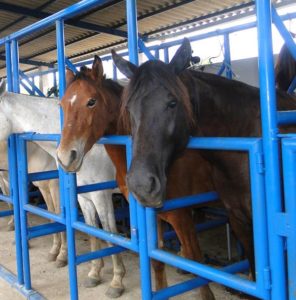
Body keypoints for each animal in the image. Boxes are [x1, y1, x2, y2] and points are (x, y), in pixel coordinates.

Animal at [0, 81, 125, 298]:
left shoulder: (99, 195)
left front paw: (116, 281)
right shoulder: (81, 195)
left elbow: (109, 233)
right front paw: (94, 272)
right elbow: (89, 229)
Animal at [56, 57, 217, 298]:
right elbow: (155, 259)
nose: (66, 156)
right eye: (62, 104)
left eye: (91, 102)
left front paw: (115, 281)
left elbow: (196, 263)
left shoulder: (179, 215)